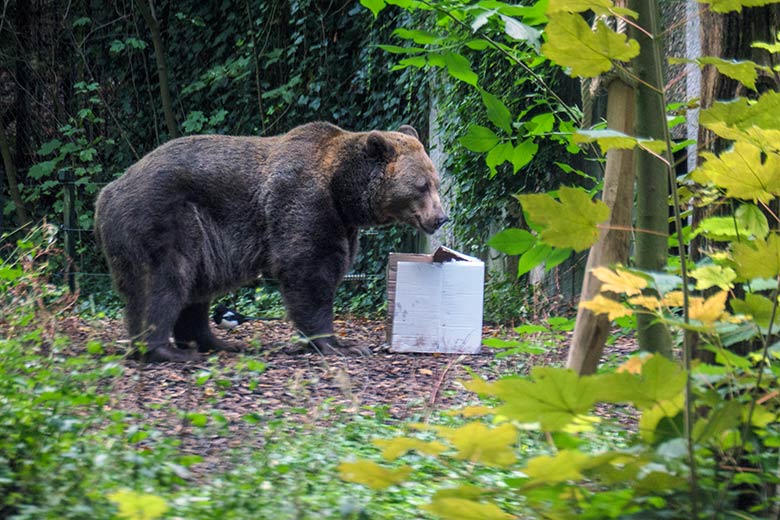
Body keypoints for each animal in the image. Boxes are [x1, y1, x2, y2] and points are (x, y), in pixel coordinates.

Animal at [94, 122, 448, 362]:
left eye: (436, 182)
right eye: (421, 185)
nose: (441, 217)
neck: (341, 192)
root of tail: (106, 193)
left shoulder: (342, 223)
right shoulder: (303, 204)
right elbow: (309, 271)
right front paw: (341, 343)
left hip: (201, 241)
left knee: (195, 289)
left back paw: (217, 342)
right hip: (162, 219)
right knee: (163, 281)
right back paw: (166, 351)